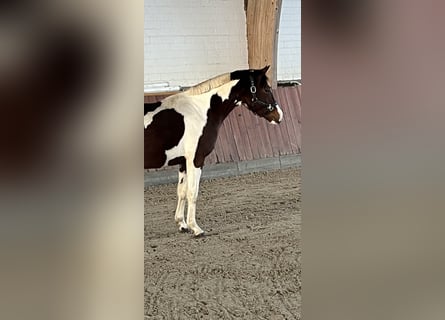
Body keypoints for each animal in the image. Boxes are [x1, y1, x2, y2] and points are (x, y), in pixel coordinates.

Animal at [144, 65, 282, 235]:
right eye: (267, 89)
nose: (279, 115)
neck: (200, 110)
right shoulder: (196, 160)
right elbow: (193, 193)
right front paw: (196, 228)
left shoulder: (184, 162)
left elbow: (181, 192)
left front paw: (182, 224)